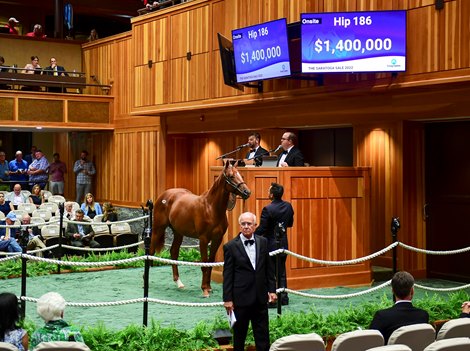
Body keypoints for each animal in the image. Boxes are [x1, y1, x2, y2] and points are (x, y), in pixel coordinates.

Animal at [151, 162, 253, 296]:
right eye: (231, 176)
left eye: (240, 175)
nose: (247, 192)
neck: (211, 208)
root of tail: (165, 194)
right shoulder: (203, 239)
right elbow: (204, 263)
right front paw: (204, 289)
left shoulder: (217, 239)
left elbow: (210, 262)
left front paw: (209, 287)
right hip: (158, 229)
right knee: (151, 252)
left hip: (178, 233)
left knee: (173, 252)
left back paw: (179, 283)